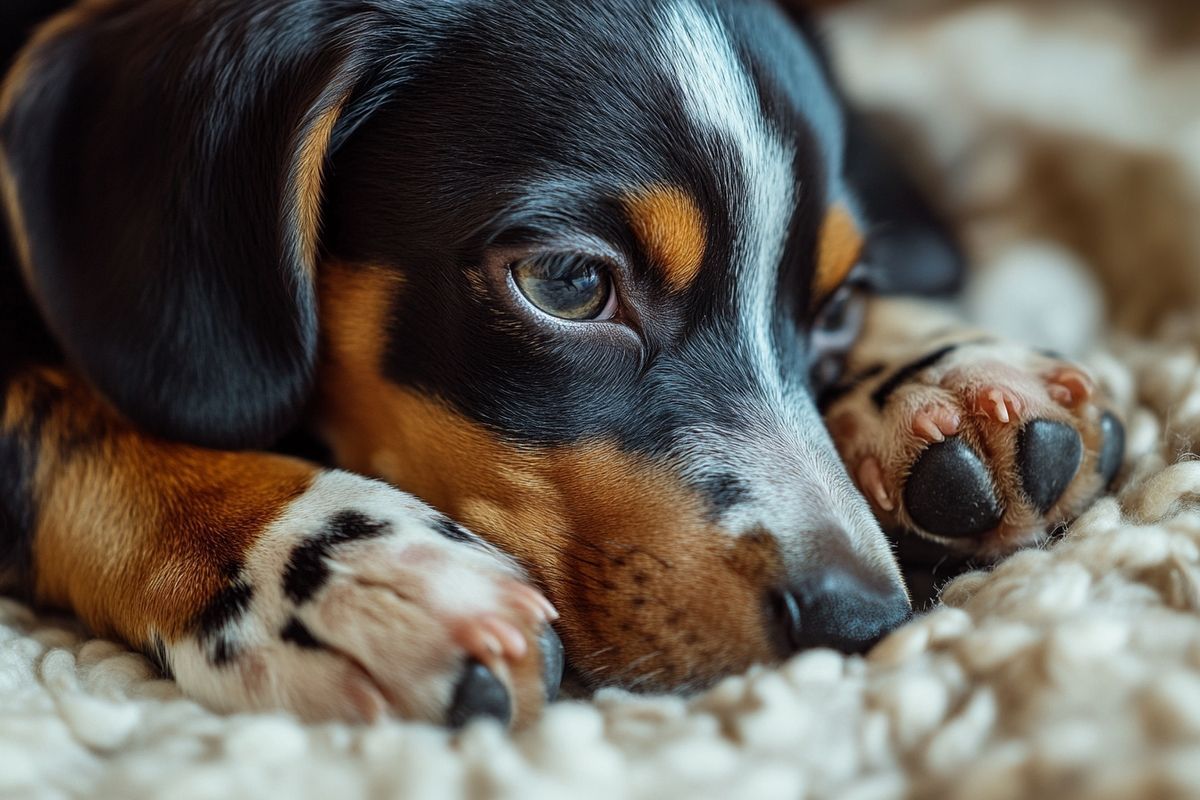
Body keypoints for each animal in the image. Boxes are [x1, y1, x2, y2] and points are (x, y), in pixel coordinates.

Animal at [0, 0, 1123, 724]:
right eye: (570, 283)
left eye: (838, 305)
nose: (859, 619)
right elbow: (53, 411)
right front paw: (332, 567)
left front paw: (944, 372)